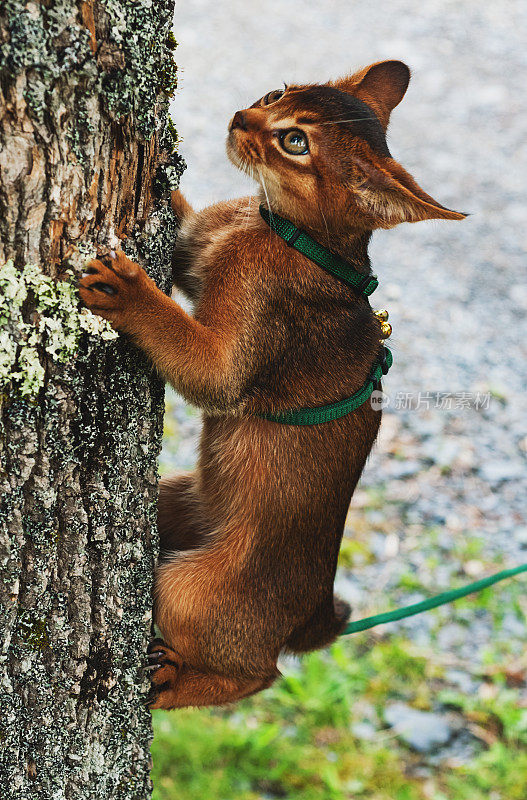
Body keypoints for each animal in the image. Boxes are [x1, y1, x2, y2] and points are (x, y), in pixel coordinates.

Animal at [78, 61, 466, 708]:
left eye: (295, 143)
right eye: (274, 94)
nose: (241, 117)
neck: (277, 231)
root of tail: (315, 616)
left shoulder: (227, 364)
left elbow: (184, 342)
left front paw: (130, 292)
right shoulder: (194, 253)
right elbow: (184, 218)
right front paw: (163, 160)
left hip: (184, 589)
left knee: (257, 675)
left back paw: (166, 684)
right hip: (173, 502)